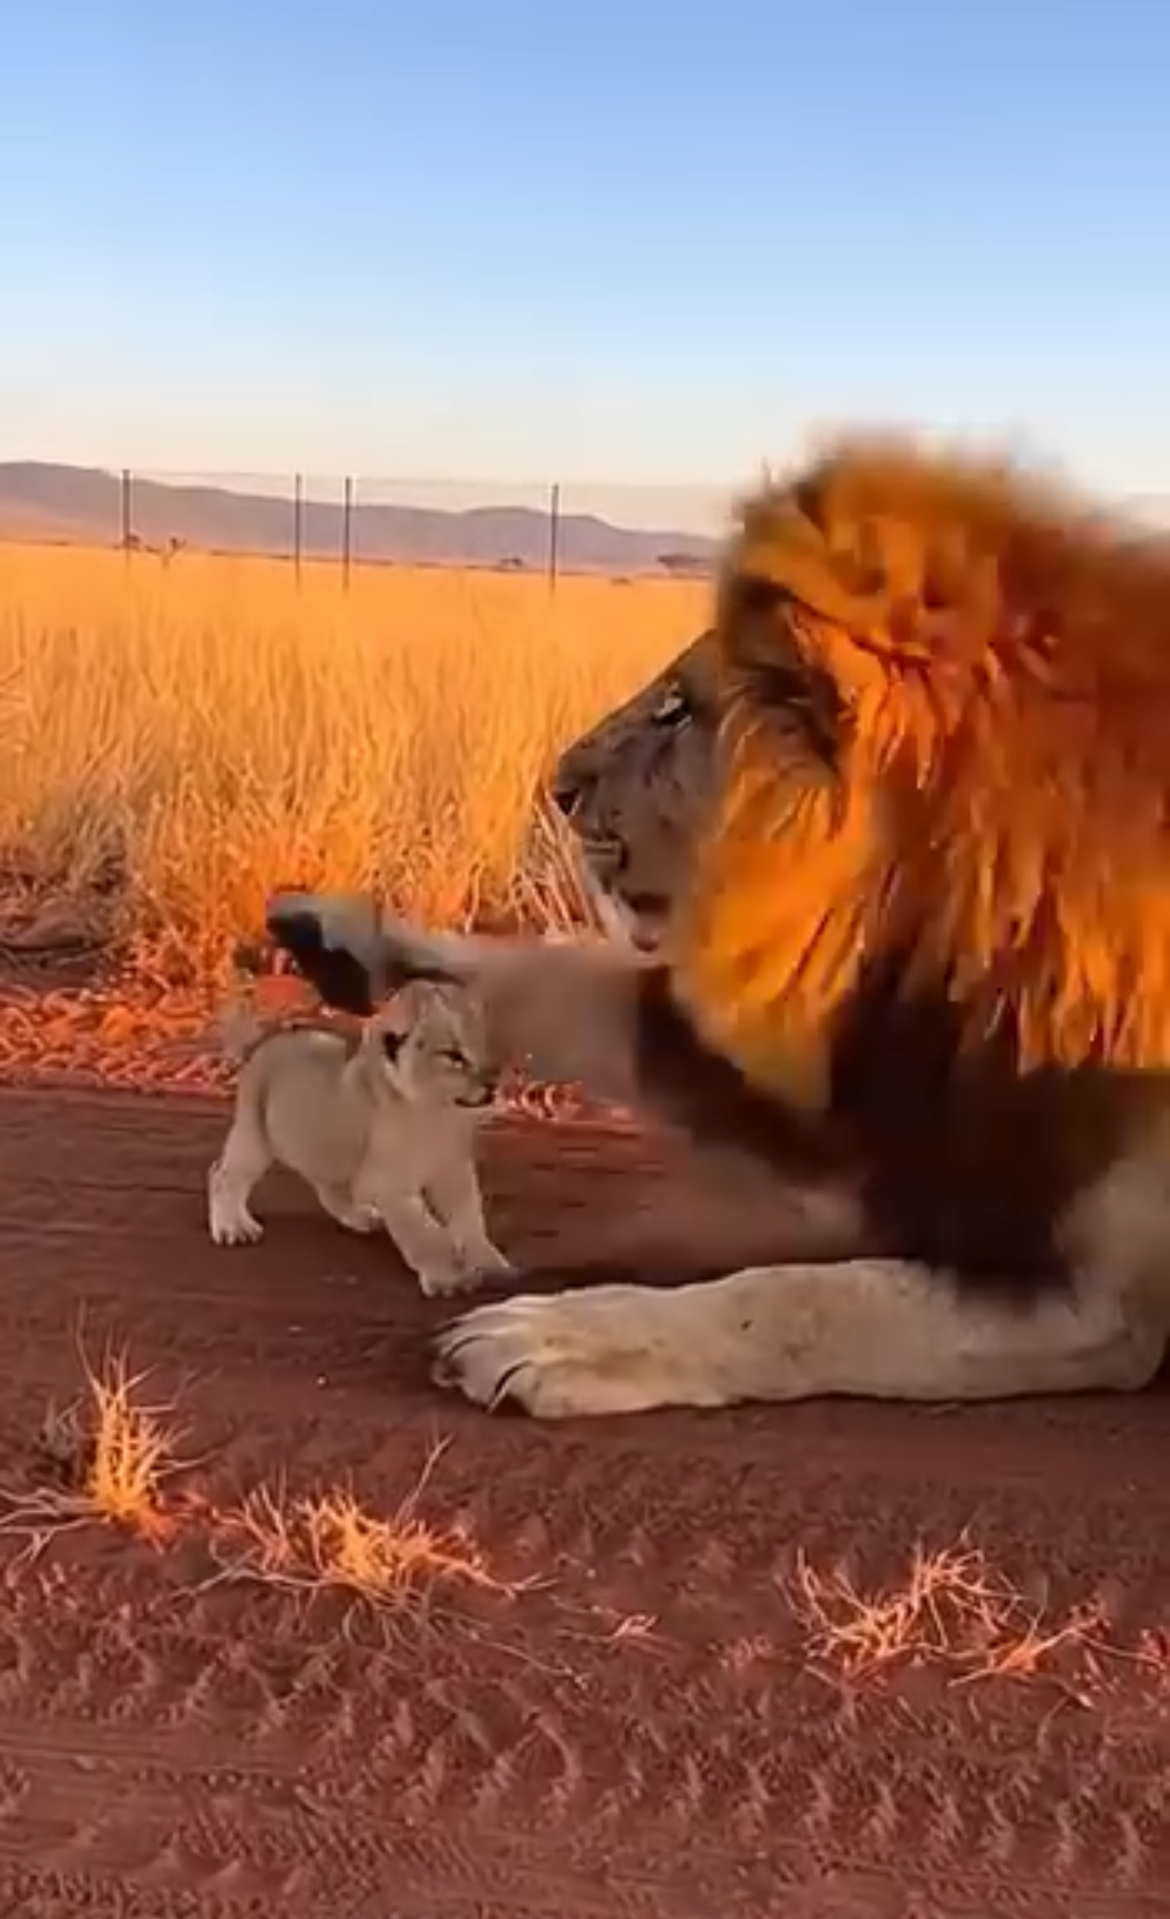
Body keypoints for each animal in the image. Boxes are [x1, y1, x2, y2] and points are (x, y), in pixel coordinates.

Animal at [207, 981, 515, 1298]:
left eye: (486, 1046)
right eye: (453, 1055)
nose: (494, 1083)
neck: (438, 1115)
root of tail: (266, 1040)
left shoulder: (454, 1173)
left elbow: (470, 1220)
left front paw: (490, 1264)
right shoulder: (391, 1184)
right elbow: (425, 1232)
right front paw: (447, 1277)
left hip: (331, 1154)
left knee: (329, 1189)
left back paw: (360, 1216)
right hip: (255, 1135)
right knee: (222, 1174)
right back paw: (233, 1227)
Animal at [264, 432, 1170, 1417]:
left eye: (678, 707)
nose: (558, 783)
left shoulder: (1108, 1302)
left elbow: (806, 1298)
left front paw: (549, 1338)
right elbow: (565, 980)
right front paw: (352, 941)